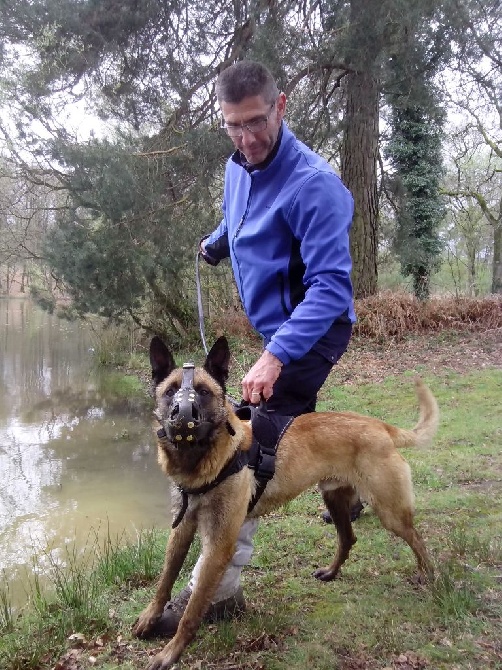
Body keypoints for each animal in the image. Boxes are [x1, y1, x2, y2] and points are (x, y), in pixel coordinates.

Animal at [133, 338, 440, 668]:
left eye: (203, 392)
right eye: (169, 391)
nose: (183, 417)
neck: (203, 463)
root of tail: (380, 426)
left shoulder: (218, 544)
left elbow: (192, 611)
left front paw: (171, 651)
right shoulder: (181, 529)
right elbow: (164, 580)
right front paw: (150, 618)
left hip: (390, 511)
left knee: (417, 538)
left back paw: (430, 577)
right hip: (334, 498)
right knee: (348, 538)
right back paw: (331, 572)